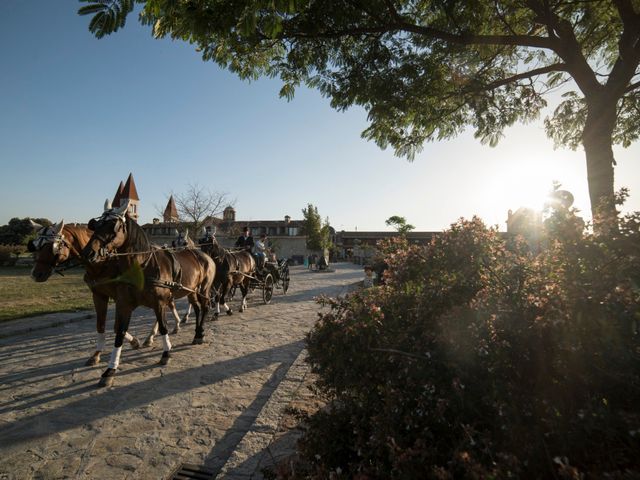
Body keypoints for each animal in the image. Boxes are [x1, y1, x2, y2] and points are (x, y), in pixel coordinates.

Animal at [28, 221, 189, 364]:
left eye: (54, 247)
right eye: (36, 246)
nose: (36, 274)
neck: (102, 265)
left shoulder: (121, 298)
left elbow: (117, 326)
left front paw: (133, 342)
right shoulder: (99, 295)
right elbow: (101, 325)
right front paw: (97, 354)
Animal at [80, 201, 214, 388]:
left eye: (113, 226)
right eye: (96, 224)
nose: (88, 253)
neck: (142, 266)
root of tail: (204, 255)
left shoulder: (159, 302)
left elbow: (163, 326)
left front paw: (166, 353)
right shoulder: (123, 304)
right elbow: (119, 332)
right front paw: (110, 370)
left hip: (203, 289)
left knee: (205, 306)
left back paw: (200, 333)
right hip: (191, 291)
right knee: (196, 308)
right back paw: (196, 332)